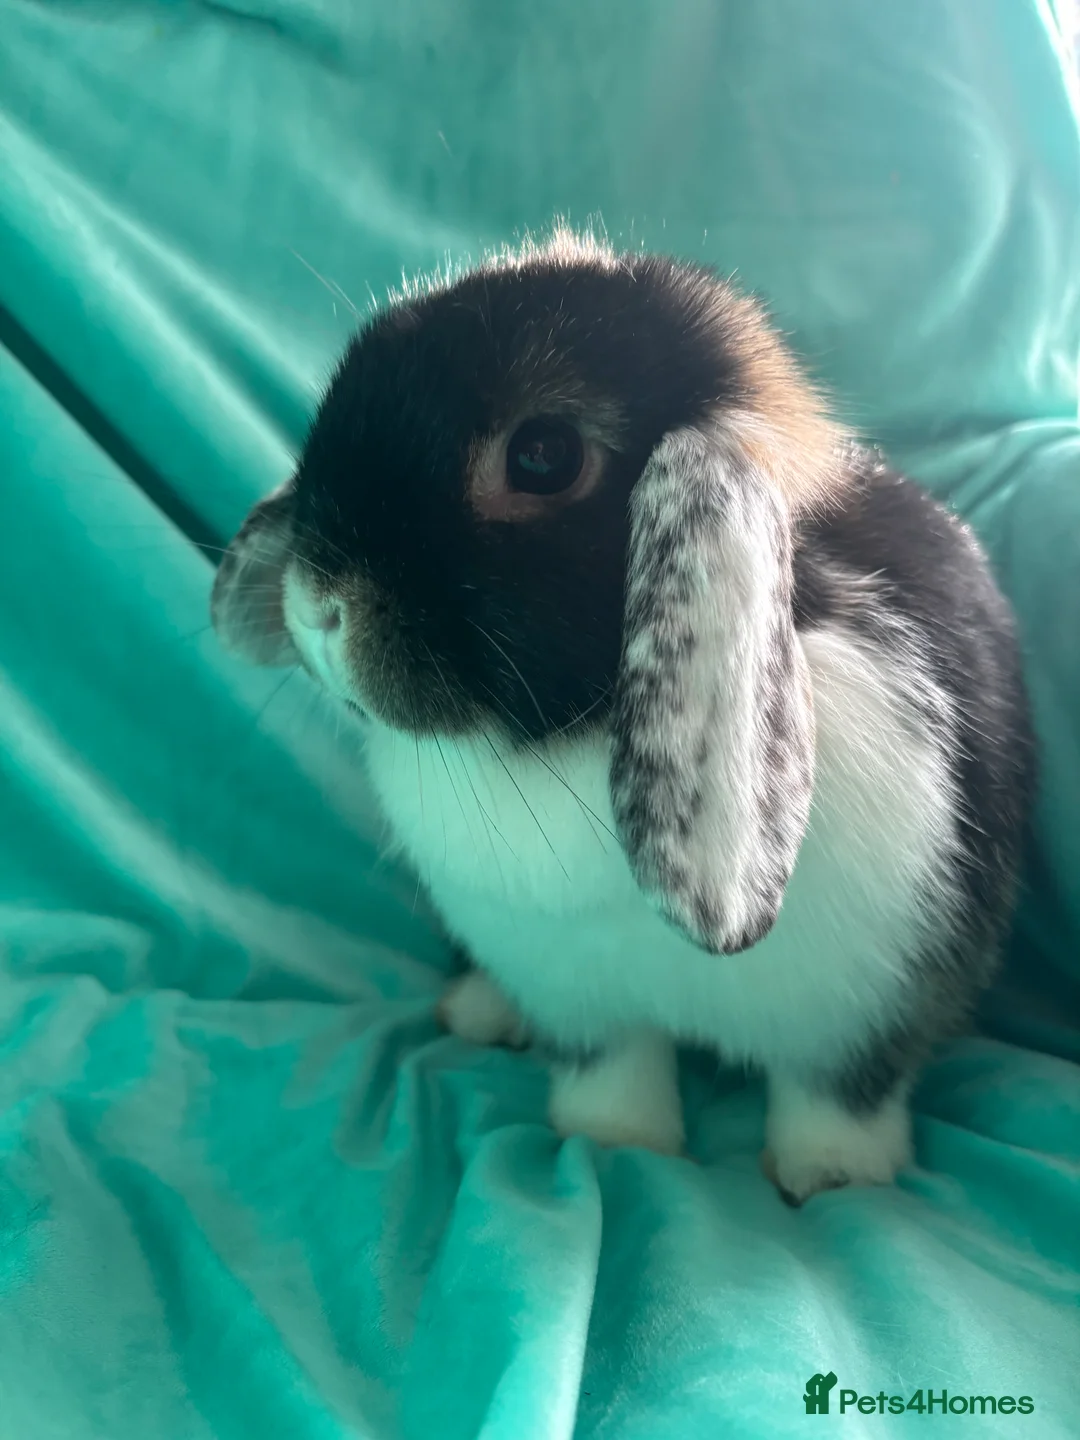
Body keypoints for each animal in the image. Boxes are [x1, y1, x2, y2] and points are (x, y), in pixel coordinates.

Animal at [212, 230, 1034, 1204]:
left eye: (543, 456)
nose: (316, 608)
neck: (567, 740)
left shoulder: (867, 1013)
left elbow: (838, 1098)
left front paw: (833, 1178)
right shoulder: (579, 999)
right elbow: (613, 1074)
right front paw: (615, 1144)